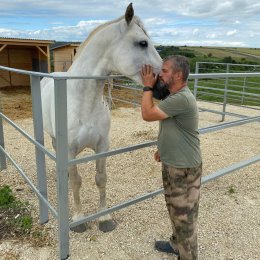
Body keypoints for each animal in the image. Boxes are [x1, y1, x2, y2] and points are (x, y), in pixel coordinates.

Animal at [41, 3, 162, 232]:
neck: (84, 102)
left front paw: (104, 218)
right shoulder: (70, 150)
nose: (163, 86)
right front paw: (79, 219)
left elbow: (101, 179)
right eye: (142, 43)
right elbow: (77, 182)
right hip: (53, 138)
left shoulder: (102, 146)